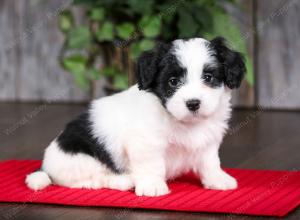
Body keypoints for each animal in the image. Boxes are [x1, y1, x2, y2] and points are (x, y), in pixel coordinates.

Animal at [26, 37, 246, 197]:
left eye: (208, 77)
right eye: (173, 81)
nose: (193, 103)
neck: (182, 121)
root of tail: (46, 166)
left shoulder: (208, 140)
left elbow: (210, 161)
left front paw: (217, 179)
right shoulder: (146, 143)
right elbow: (151, 164)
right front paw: (152, 185)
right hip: (80, 159)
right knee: (91, 180)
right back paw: (122, 180)